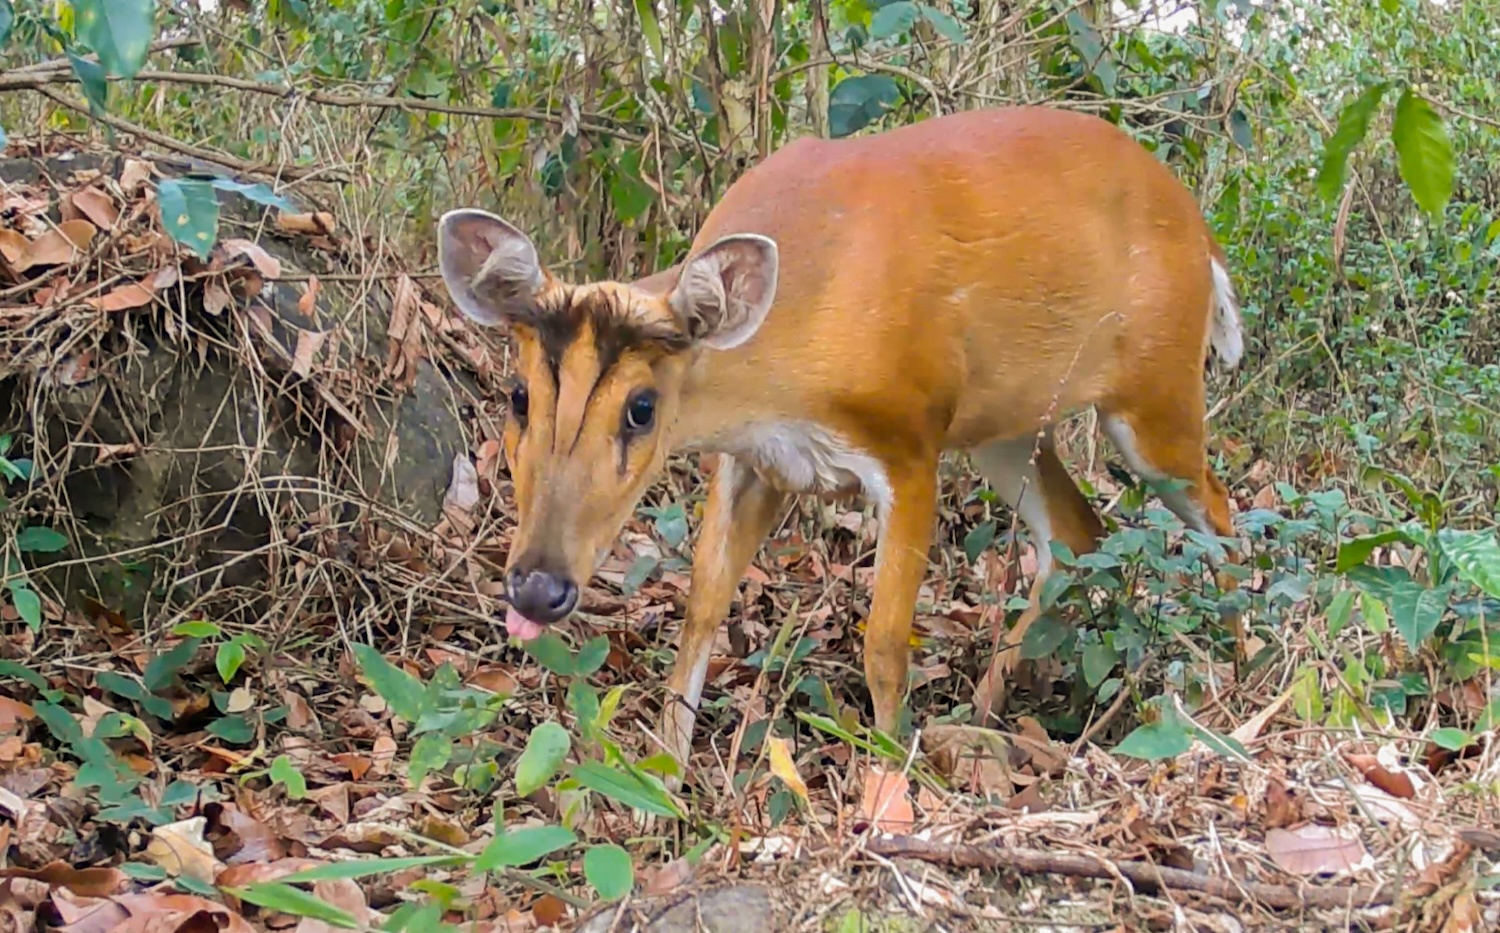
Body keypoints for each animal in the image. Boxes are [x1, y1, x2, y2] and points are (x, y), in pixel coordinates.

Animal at [438, 102, 1248, 780]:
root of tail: (1206, 235)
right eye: (517, 395)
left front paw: (889, 782)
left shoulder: (910, 439)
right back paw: (983, 714)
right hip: (1007, 426)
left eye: (642, 407)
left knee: (1222, 512)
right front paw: (663, 772)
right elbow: (702, 606)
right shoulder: (754, 460)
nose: (537, 588)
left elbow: (884, 643)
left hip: (1156, 389)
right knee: (1078, 531)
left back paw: (1235, 691)